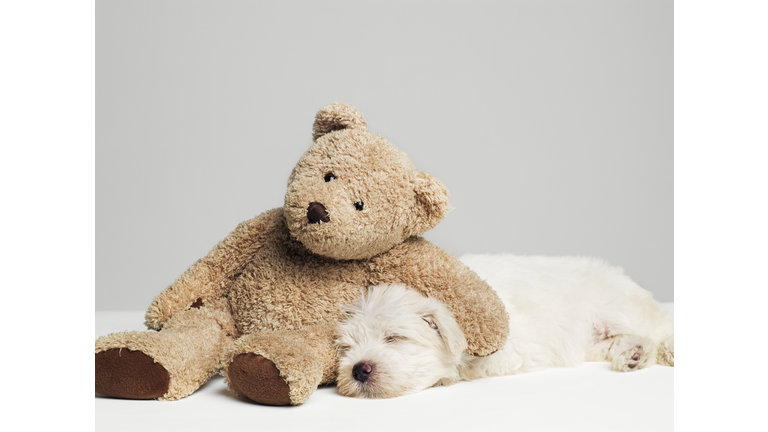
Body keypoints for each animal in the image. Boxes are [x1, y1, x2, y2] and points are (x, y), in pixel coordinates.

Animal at [334, 253, 672, 398]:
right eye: (346, 349)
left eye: (394, 337)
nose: (359, 370)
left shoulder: (508, 349)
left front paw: (448, 375)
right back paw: (631, 354)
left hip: (616, 306)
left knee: (656, 332)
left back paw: (641, 352)